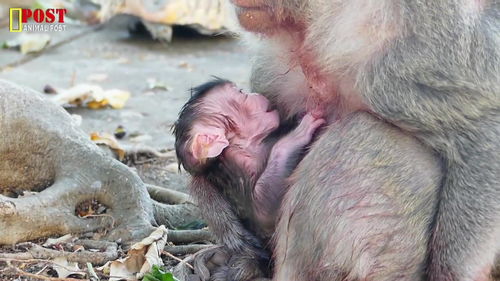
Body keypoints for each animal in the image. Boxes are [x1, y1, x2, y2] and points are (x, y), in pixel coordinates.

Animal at [176, 77, 324, 237]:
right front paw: (296, 134)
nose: (254, 94)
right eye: (241, 93)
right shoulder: (237, 161)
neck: (251, 144)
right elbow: (264, 213)